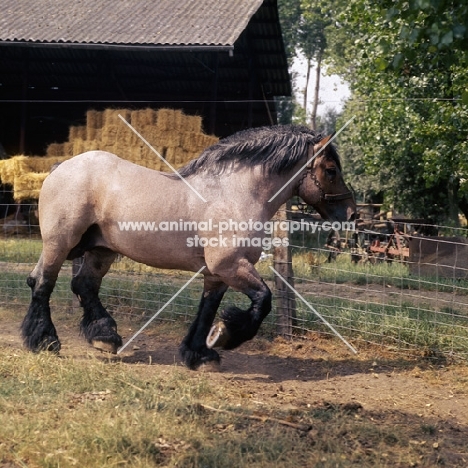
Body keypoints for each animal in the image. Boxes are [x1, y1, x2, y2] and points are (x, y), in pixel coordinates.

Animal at [19, 124, 354, 370]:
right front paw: (224, 336)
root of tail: (61, 166)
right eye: (331, 170)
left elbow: (207, 309)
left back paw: (105, 337)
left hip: (101, 250)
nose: (350, 214)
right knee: (42, 283)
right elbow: (263, 300)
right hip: (59, 243)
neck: (233, 194)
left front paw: (199, 354)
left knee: (83, 285)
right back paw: (44, 341)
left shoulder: (218, 274)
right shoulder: (229, 265)